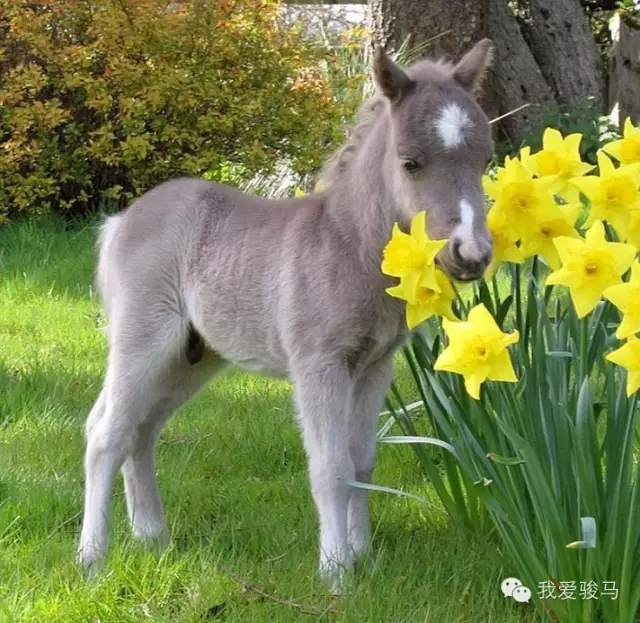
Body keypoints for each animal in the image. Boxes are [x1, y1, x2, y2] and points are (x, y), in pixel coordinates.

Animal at [78, 38, 495, 592]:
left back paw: (154, 539)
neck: (349, 245)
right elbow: (330, 469)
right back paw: (91, 559)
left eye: (485, 159)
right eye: (410, 163)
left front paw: (364, 558)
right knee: (106, 433)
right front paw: (336, 574)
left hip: (192, 356)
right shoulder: (319, 364)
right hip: (144, 337)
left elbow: (362, 462)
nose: (471, 254)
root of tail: (121, 220)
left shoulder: (374, 366)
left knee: (140, 430)